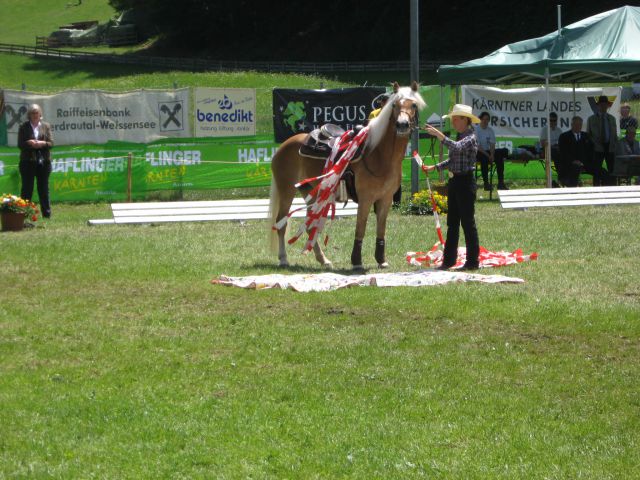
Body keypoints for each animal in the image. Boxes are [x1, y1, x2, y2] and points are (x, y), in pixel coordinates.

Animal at [268, 82, 424, 270]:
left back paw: (324, 260)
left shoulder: (385, 199)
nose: (402, 124)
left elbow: (381, 229)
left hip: (311, 192)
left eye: (413, 105)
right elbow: (360, 228)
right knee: (281, 223)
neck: (378, 154)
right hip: (287, 191)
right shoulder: (365, 199)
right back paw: (284, 258)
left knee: (310, 225)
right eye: (394, 105)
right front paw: (356, 261)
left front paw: (381, 260)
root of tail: (284, 146)